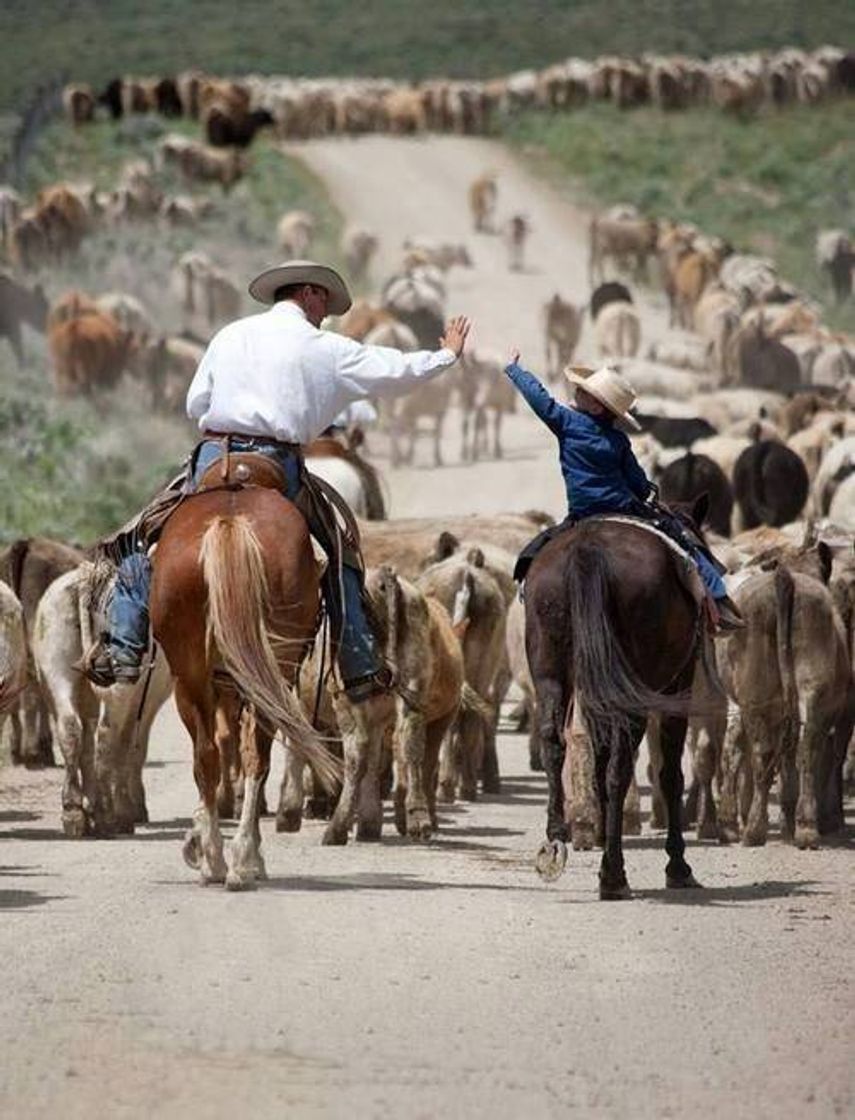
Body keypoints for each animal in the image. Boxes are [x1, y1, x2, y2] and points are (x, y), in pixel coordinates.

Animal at [150, 474, 340, 891]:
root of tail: (230, 522)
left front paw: (196, 839)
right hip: (265, 670)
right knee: (253, 755)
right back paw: (242, 860)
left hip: (192, 675)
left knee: (209, 755)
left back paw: (217, 860)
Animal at [524, 501, 712, 900]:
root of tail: (587, 550)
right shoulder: (679, 684)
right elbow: (670, 774)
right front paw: (678, 865)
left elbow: (596, 759)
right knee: (620, 769)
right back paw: (613, 874)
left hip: (551, 668)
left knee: (554, 740)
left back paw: (556, 838)